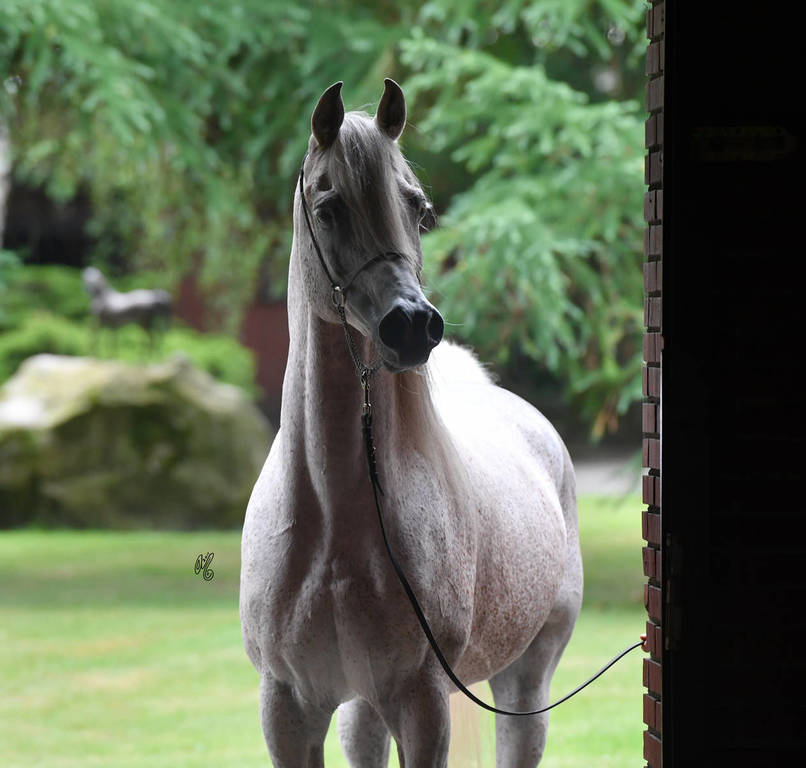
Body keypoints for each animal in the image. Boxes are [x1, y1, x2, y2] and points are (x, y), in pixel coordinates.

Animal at [239, 79, 583, 767]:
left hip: (525, 679)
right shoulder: (287, 707)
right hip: (361, 706)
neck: (334, 522)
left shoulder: (422, 703)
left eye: (418, 209)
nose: (414, 325)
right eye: (329, 208)